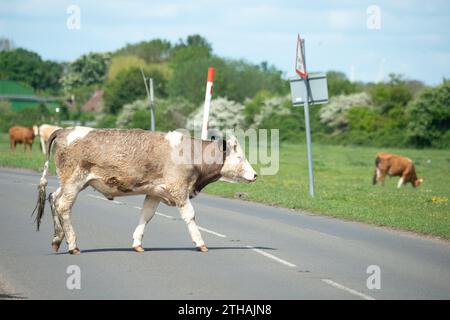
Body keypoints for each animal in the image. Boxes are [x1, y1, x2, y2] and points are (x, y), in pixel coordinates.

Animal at [32, 127, 256, 255]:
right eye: (240, 158)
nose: (254, 175)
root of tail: (64, 130)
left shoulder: (155, 192)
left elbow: (146, 216)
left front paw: (137, 243)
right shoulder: (179, 190)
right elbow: (190, 216)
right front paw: (200, 243)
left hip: (68, 183)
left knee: (53, 198)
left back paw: (57, 238)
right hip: (74, 181)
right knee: (63, 206)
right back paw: (72, 244)